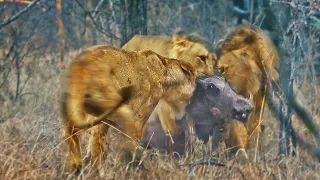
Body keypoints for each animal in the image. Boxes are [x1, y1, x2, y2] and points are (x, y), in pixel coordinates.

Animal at [61, 45, 196, 173]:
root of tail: (81, 65)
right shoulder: (138, 118)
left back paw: (78, 167)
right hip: (110, 104)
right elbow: (132, 141)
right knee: (97, 140)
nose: (191, 100)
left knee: (72, 132)